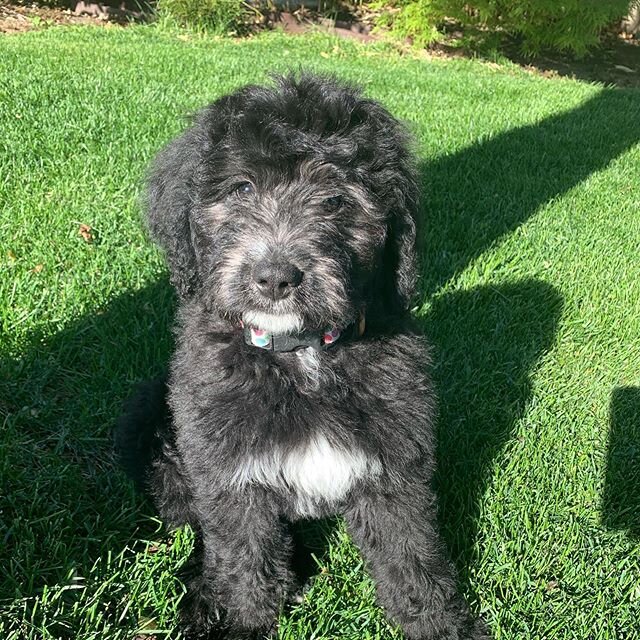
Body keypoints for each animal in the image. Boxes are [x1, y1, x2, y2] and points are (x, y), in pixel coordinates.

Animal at [116, 74, 490, 640]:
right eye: (241, 188)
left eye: (335, 201)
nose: (275, 279)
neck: (301, 354)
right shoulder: (231, 477)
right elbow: (243, 559)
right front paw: (244, 623)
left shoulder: (395, 467)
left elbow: (412, 556)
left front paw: (441, 624)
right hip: (153, 422)